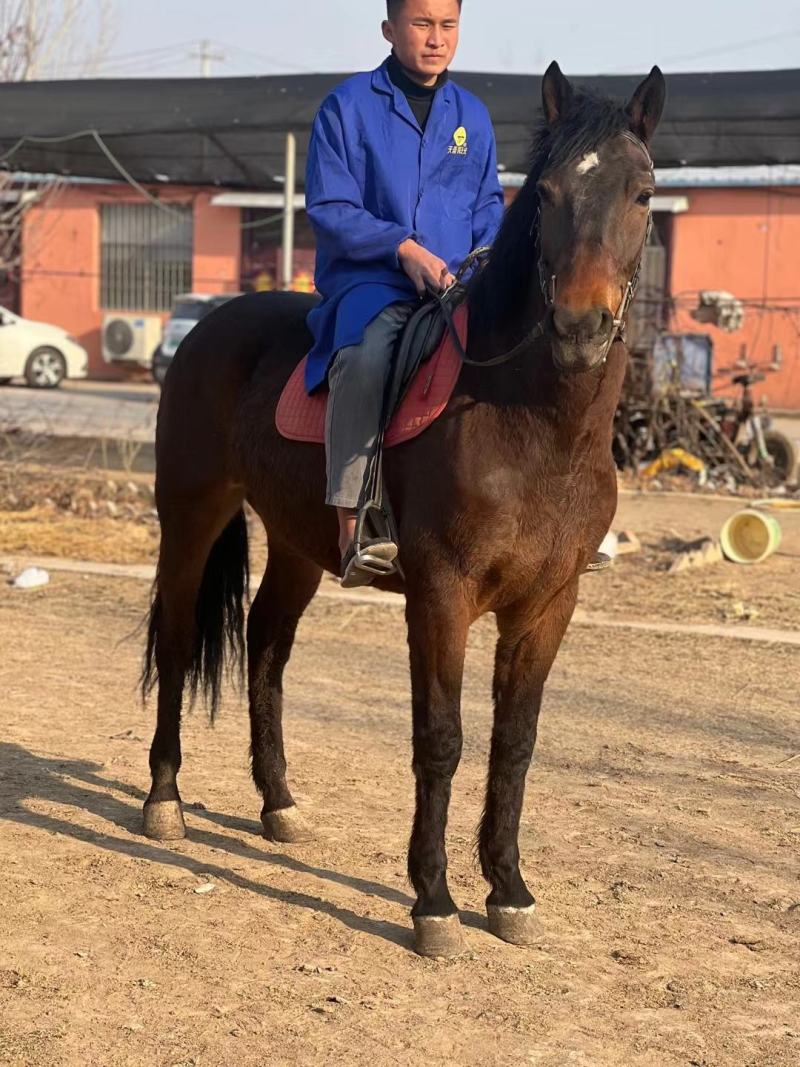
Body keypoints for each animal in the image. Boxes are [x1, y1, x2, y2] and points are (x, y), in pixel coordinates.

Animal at [141, 61, 666, 958]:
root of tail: (211, 323)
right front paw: (435, 901)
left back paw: (278, 804)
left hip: (298, 545)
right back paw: (165, 799)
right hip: (192, 516)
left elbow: (514, 741)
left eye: (641, 192)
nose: (579, 325)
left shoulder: (548, 604)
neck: (534, 422)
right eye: (549, 191)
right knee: (178, 641)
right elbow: (442, 737)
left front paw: (509, 890)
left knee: (269, 648)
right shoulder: (442, 594)